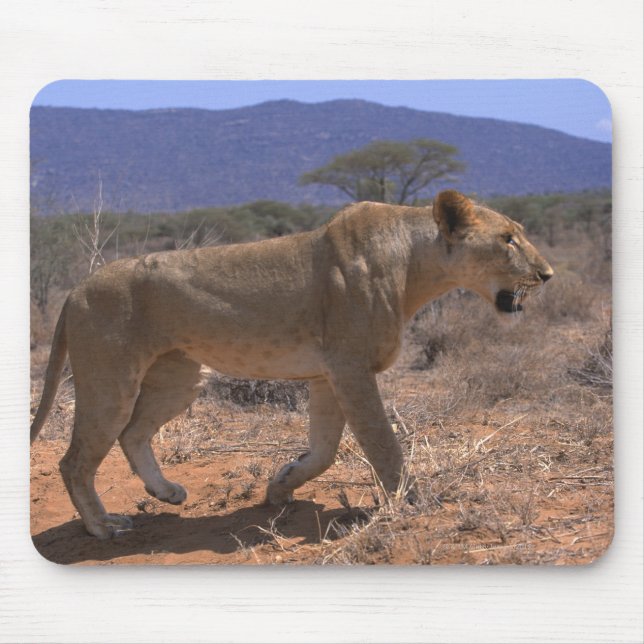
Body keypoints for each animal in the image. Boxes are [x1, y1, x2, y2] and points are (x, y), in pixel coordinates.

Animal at [31, 190, 553, 539]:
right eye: (508, 239)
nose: (547, 274)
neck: (415, 266)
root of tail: (75, 289)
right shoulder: (350, 367)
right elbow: (383, 444)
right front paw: (413, 502)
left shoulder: (327, 375)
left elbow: (323, 451)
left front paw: (280, 487)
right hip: (110, 381)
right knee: (74, 460)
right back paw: (103, 526)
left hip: (180, 377)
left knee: (132, 433)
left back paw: (166, 493)